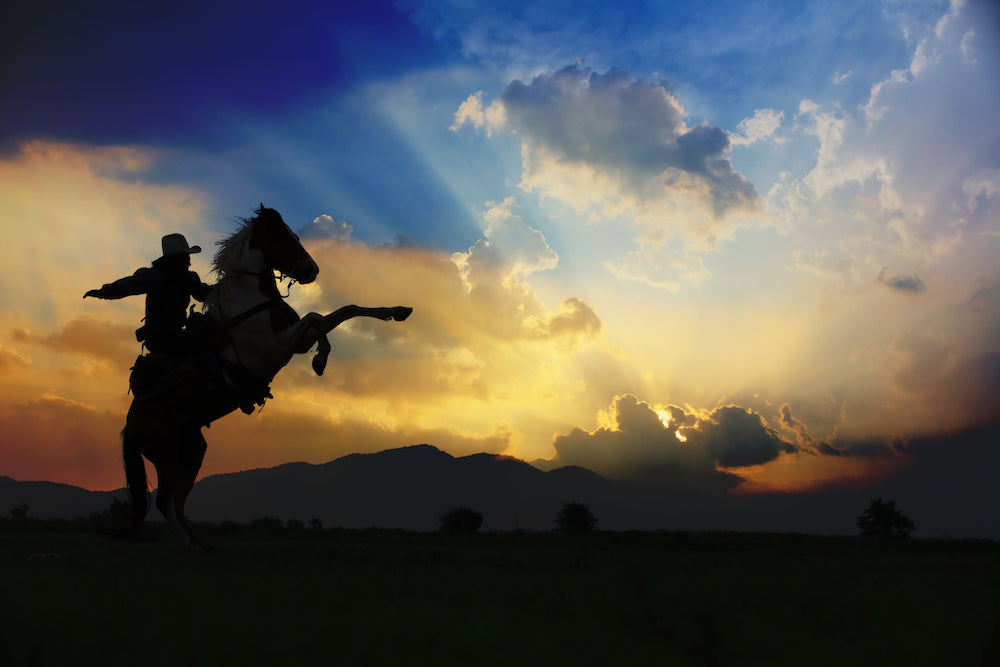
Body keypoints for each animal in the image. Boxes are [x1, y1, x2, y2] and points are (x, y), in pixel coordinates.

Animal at [120, 206, 410, 552]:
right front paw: (321, 359)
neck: (252, 304)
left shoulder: (295, 340)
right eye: (283, 236)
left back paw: (200, 544)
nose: (311, 270)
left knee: (177, 502)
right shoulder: (279, 347)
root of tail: (129, 425)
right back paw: (190, 544)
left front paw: (397, 311)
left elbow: (345, 310)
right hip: (166, 456)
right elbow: (316, 318)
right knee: (165, 502)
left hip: (192, 451)